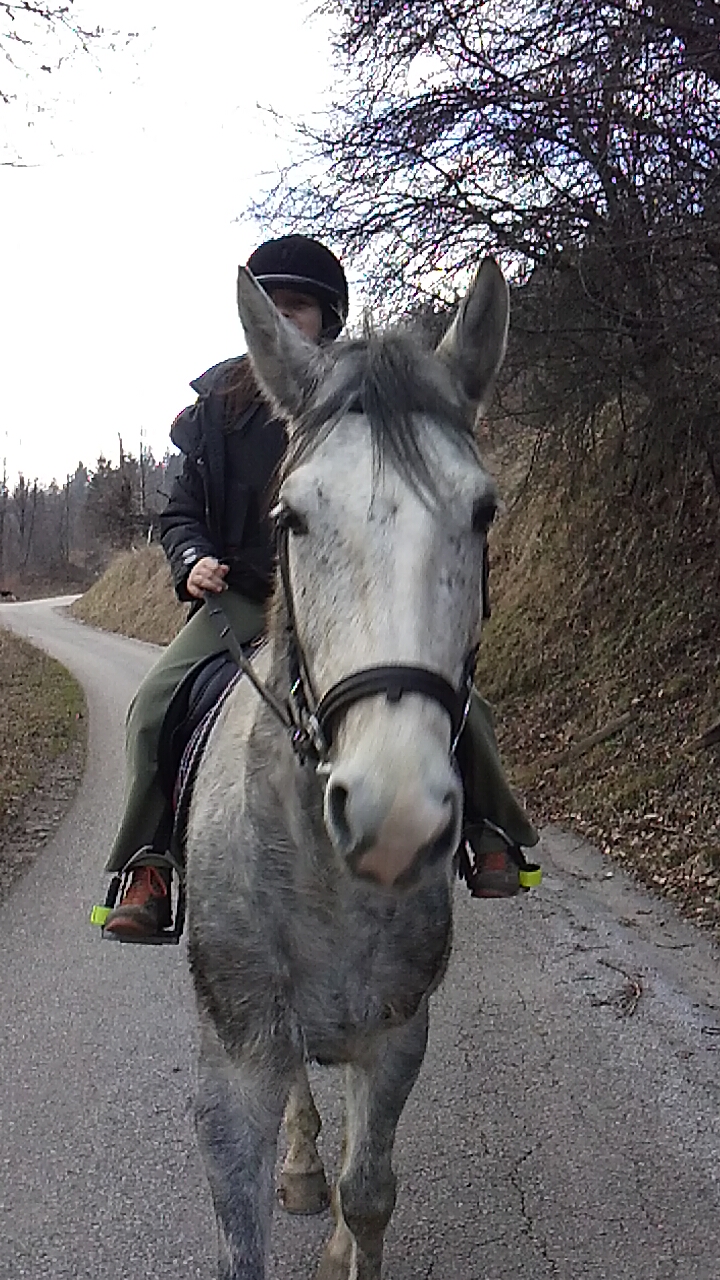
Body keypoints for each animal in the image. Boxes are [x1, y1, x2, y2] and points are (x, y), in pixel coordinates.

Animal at [186, 257, 510, 1280]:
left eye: (483, 511)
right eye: (290, 517)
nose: (394, 813)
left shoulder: (399, 1035)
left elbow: (369, 1194)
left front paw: (341, 1238)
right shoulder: (235, 1066)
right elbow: (240, 1239)